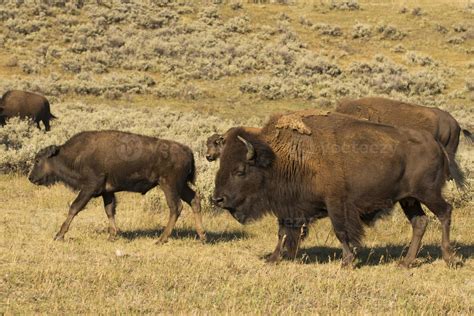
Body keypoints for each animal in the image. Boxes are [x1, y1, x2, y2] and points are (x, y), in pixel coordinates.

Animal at [27, 130, 206, 243]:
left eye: (37, 160)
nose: (31, 178)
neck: (75, 155)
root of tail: (188, 151)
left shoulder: (89, 188)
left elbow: (74, 208)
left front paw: (59, 235)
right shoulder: (107, 192)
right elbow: (109, 210)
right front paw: (113, 235)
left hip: (169, 185)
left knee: (175, 207)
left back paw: (161, 239)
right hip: (181, 186)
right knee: (194, 200)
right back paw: (202, 236)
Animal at [213, 113, 464, 266]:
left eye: (240, 170)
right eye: (221, 164)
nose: (217, 199)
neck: (285, 157)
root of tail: (436, 144)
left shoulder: (336, 203)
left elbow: (341, 231)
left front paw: (347, 261)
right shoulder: (288, 208)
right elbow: (283, 232)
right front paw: (274, 259)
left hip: (428, 193)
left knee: (445, 213)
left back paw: (449, 258)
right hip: (409, 199)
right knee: (420, 222)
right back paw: (405, 262)